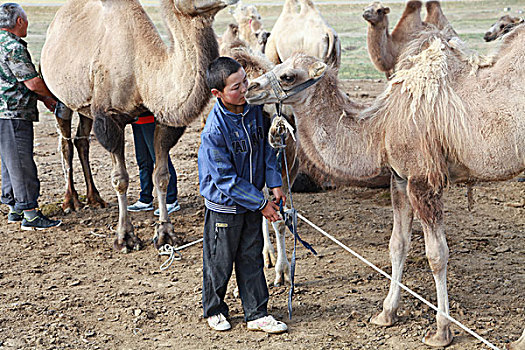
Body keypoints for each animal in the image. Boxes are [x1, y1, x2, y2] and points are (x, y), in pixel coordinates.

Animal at [41, 0, 237, 253]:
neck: (142, 71)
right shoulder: (109, 118)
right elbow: (120, 179)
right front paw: (125, 237)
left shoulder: (161, 119)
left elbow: (161, 175)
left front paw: (166, 234)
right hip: (60, 96)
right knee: (65, 142)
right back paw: (70, 201)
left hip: (86, 108)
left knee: (81, 140)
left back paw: (95, 199)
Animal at [246, 24, 524, 348]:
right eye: (277, 64)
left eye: (288, 76)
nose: (251, 87)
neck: (381, 125)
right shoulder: (400, 179)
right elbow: (397, 244)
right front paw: (386, 313)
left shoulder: (423, 179)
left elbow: (436, 254)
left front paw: (441, 330)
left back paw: (518, 340)